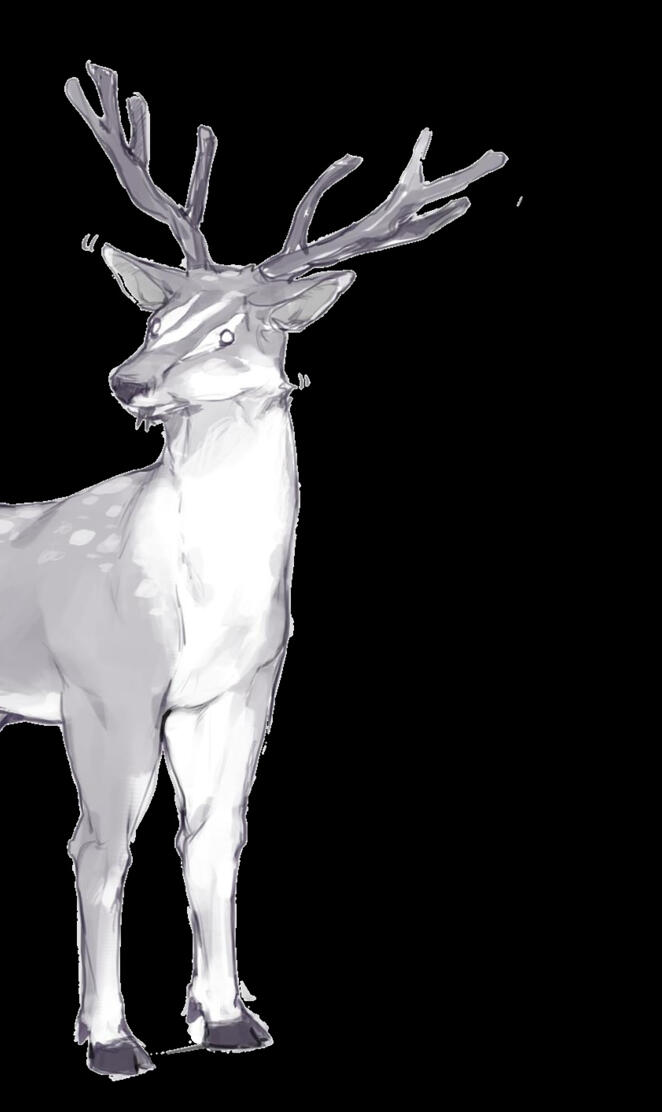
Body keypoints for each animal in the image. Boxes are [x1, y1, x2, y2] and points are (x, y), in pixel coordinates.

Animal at [0, 62, 507, 1078]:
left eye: (233, 333)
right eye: (156, 315)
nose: (127, 381)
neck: (196, 605)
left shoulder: (240, 689)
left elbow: (214, 838)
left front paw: (229, 1019)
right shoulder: (102, 686)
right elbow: (99, 846)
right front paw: (112, 1041)